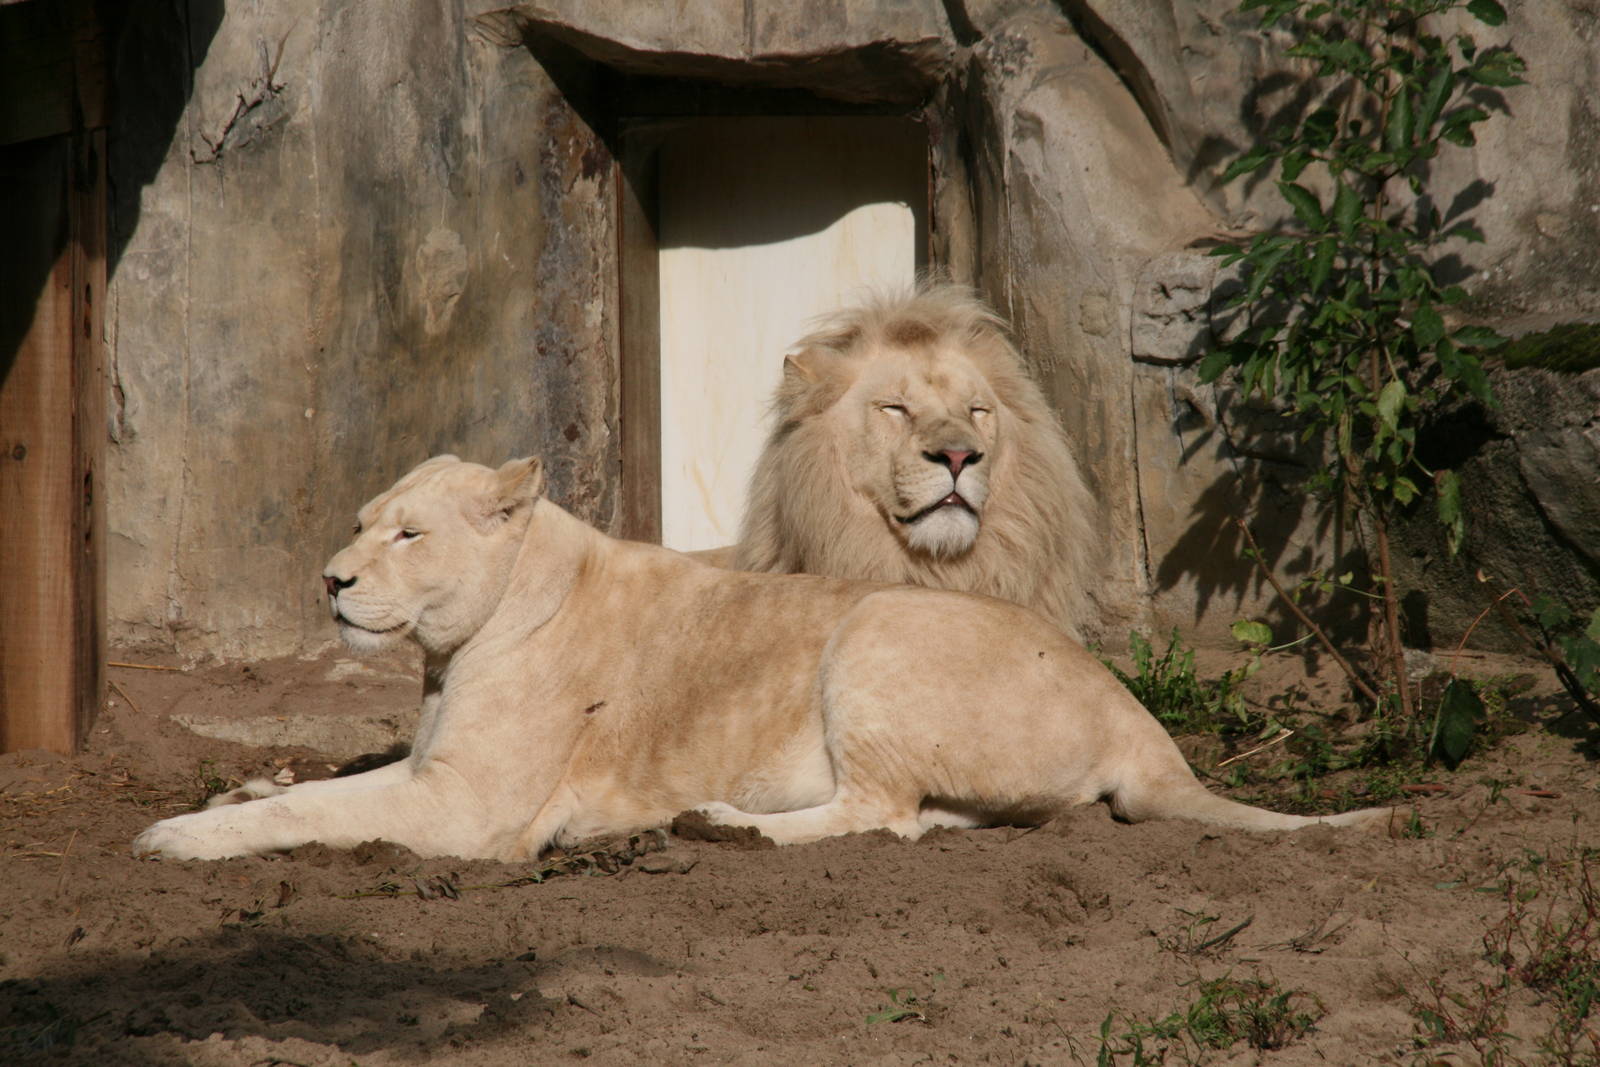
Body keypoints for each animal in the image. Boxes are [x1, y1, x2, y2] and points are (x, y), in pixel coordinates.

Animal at [132, 454, 1393, 862]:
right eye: (360, 522)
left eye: (405, 534)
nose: (330, 580)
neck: (452, 648)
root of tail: (1139, 717)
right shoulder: (434, 771)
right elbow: (329, 778)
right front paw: (235, 789)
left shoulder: (468, 809)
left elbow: (317, 810)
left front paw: (180, 834)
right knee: (920, 818)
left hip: (877, 630)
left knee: (873, 812)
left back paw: (718, 824)